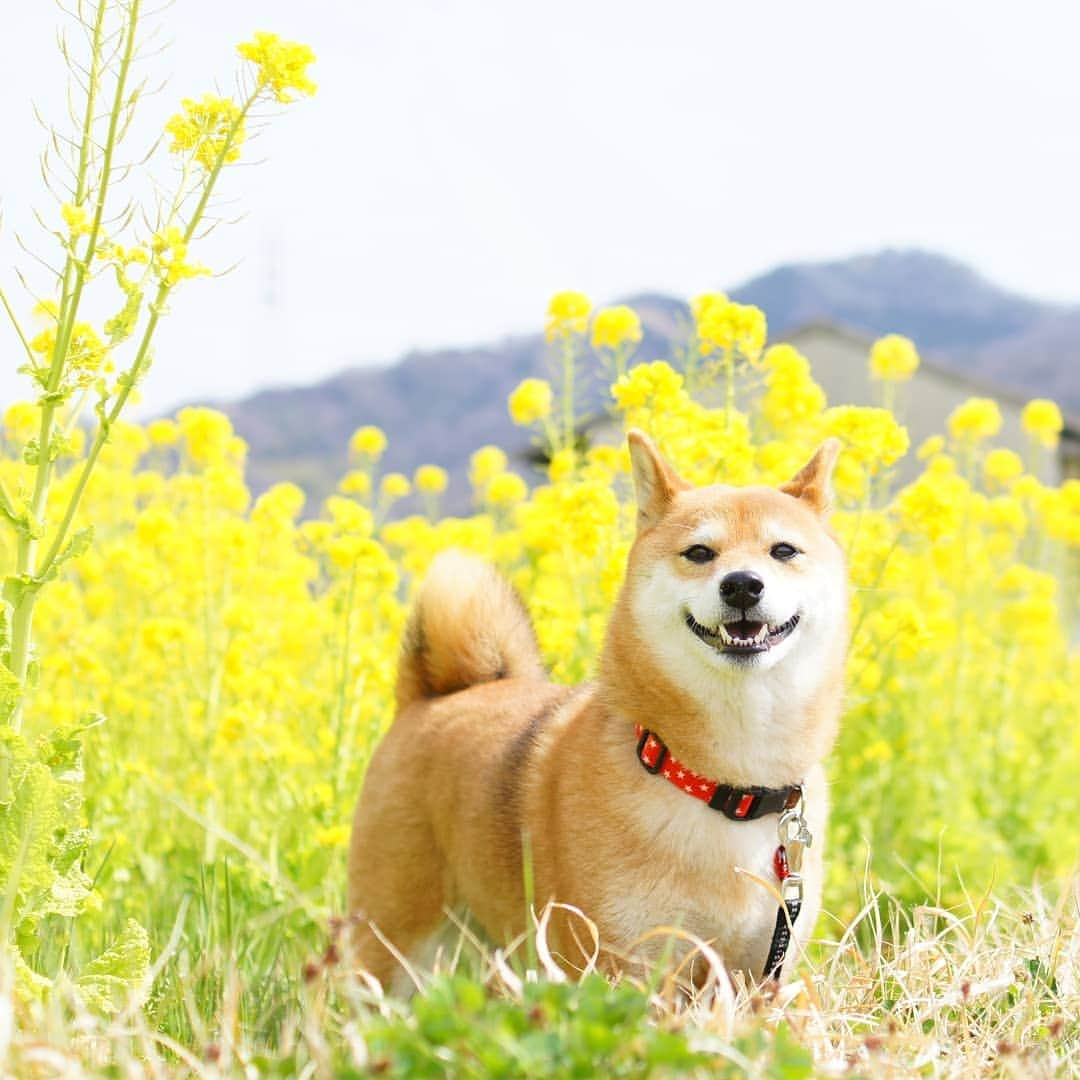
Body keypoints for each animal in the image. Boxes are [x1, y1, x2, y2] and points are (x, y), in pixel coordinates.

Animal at [345, 429, 842, 989]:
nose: (741, 584)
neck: (724, 786)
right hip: (391, 943)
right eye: (698, 552)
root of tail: (433, 696)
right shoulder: (620, 965)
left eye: (784, 550)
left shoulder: (759, 969)